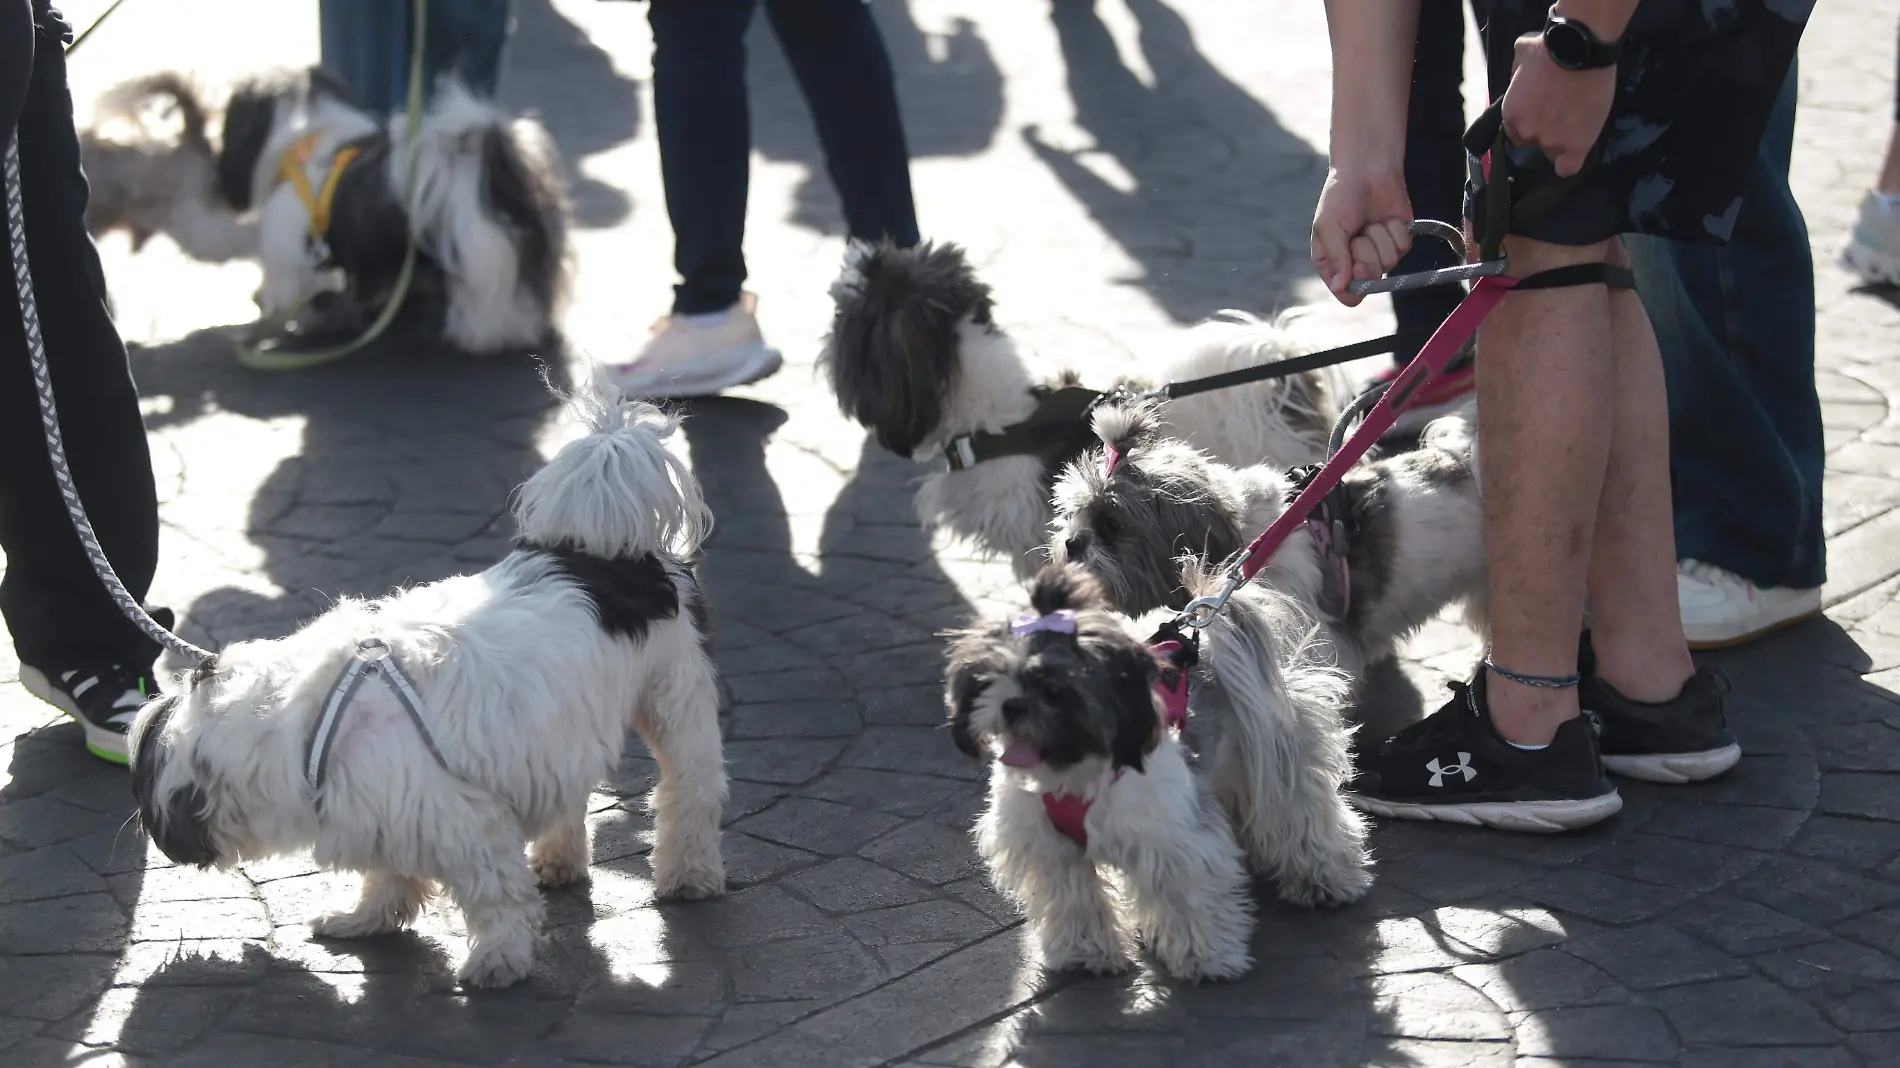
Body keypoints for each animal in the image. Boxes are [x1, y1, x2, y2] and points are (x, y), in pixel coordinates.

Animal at [126, 385, 718, 988]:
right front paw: (366, 918)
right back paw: (559, 859)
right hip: (562, 723)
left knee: (689, 791)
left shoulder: (465, 821)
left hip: (677, 700)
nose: (153, 835)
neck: (299, 730)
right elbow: (389, 874)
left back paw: (688, 873)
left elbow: (496, 898)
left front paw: (497, 959)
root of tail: (608, 553)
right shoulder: (388, 813)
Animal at [946, 562, 1368, 980]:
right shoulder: (1051, 849)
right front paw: (1084, 950)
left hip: (1274, 754)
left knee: (1302, 816)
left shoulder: (1173, 843)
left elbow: (1187, 896)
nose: (1012, 705)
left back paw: (1324, 879)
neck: (1076, 773)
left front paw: (1204, 957)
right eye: (989, 679)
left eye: (1053, 688)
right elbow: (1073, 898)